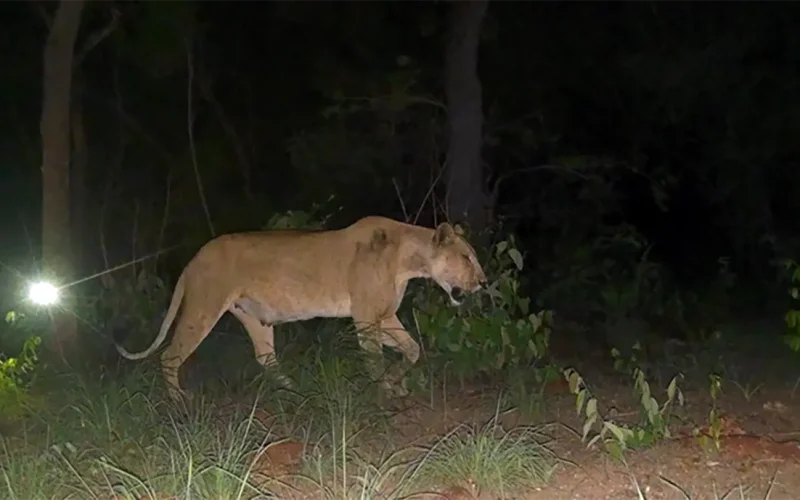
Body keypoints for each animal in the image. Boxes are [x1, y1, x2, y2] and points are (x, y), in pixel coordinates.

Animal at [114, 216, 487, 400]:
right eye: (466, 258)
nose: (483, 282)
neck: (409, 260)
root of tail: (194, 258)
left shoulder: (384, 315)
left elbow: (412, 349)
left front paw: (398, 384)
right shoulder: (366, 318)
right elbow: (376, 359)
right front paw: (385, 392)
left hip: (254, 318)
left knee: (266, 359)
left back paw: (297, 391)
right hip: (203, 308)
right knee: (169, 356)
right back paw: (179, 402)